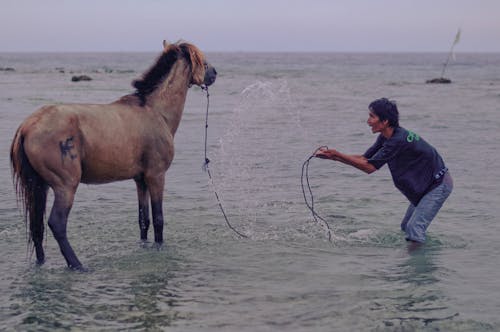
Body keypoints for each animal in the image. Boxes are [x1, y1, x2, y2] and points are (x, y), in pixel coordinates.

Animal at [9, 40, 217, 270]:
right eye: (201, 59)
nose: (214, 73)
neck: (155, 111)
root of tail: (27, 126)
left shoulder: (140, 180)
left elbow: (144, 219)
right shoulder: (156, 175)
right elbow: (158, 218)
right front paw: (159, 248)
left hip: (38, 185)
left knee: (36, 225)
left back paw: (41, 263)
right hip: (65, 186)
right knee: (57, 223)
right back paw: (77, 265)